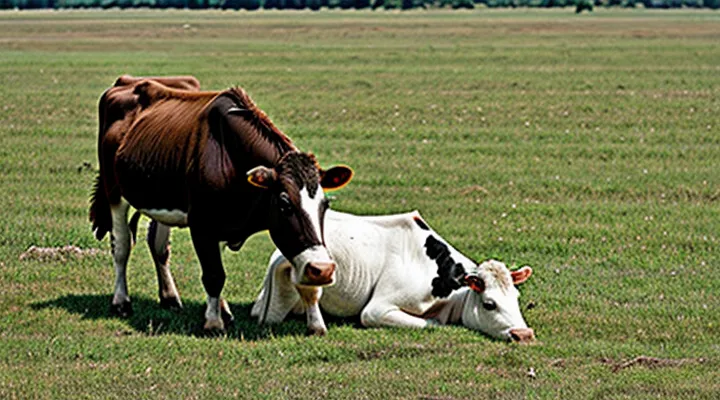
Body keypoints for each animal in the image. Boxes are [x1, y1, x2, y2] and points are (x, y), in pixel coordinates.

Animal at [90, 76, 353, 331]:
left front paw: (316, 324)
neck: (230, 157)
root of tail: (126, 82)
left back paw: (170, 297)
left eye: (325, 205)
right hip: (114, 192)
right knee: (121, 246)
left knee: (159, 247)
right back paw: (121, 301)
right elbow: (214, 274)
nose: (323, 269)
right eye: (284, 203)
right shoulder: (201, 225)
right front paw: (213, 321)